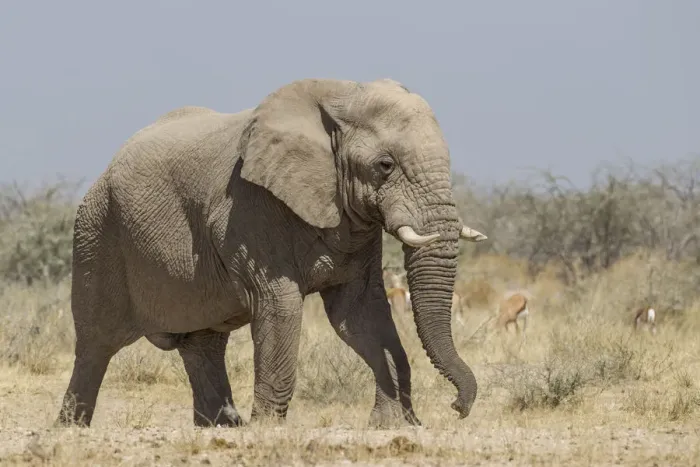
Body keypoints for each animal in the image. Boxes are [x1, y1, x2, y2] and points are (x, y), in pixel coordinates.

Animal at [56, 77, 488, 429]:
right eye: (385, 165)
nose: (457, 407)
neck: (340, 97)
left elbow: (359, 314)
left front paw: (391, 425)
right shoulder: (249, 209)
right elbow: (279, 306)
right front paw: (266, 427)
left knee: (203, 342)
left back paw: (221, 426)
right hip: (97, 232)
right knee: (95, 343)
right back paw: (71, 427)